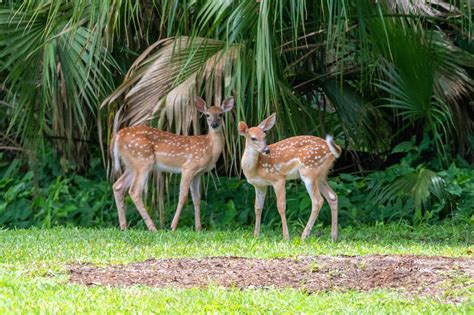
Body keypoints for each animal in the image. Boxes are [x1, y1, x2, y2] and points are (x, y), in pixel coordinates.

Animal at [113, 97, 235, 233]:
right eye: (207, 115)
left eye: (221, 114)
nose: (214, 124)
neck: (209, 147)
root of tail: (118, 136)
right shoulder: (188, 167)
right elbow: (183, 196)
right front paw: (173, 226)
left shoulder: (198, 173)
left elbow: (197, 198)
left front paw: (198, 228)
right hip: (143, 160)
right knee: (134, 191)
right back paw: (153, 228)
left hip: (131, 165)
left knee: (118, 186)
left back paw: (124, 227)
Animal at [241, 113, 340, 242]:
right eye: (253, 138)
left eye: (264, 136)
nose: (266, 150)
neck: (255, 168)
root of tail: (334, 150)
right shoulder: (259, 185)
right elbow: (258, 208)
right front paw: (256, 235)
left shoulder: (278, 178)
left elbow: (281, 206)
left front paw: (286, 237)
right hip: (321, 175)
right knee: (332, 196)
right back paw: (334, 237)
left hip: (309, 171)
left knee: (318, 201)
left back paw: (304, 236)